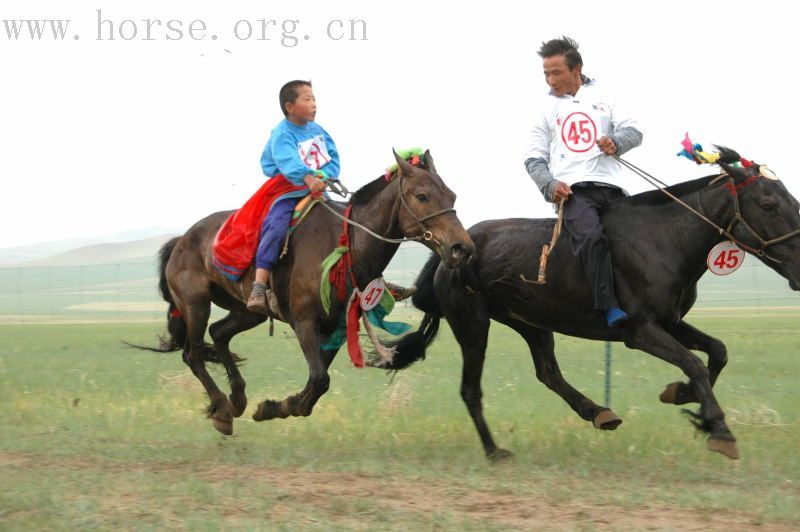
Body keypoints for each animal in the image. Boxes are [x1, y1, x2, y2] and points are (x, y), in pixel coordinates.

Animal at [140, 151, 472, 436]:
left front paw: (275, 406)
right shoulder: (304, 322)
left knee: (219, 333)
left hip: (246, 311)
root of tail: (182, 240)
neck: (347, 244)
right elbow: (320, 378)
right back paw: (222, 409)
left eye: (452, 195)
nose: (462, 248)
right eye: (422, 196)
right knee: (193, 354)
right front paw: (279, 406)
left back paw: (238, 399)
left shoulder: (336, 326)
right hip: (195, 304)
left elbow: (317, 382)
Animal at [382, 148, 800, 460]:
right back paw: (494, 450)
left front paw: (684, 398)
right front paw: (719, 428)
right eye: (768, 203)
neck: (662, 239)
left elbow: (717, 351)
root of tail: (453, 249)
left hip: (530, 321)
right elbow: (695, 363)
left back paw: (599, 412)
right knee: (471, 389)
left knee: (548, 372)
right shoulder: (639, 331)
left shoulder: (671, 322)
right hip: (473, 323)